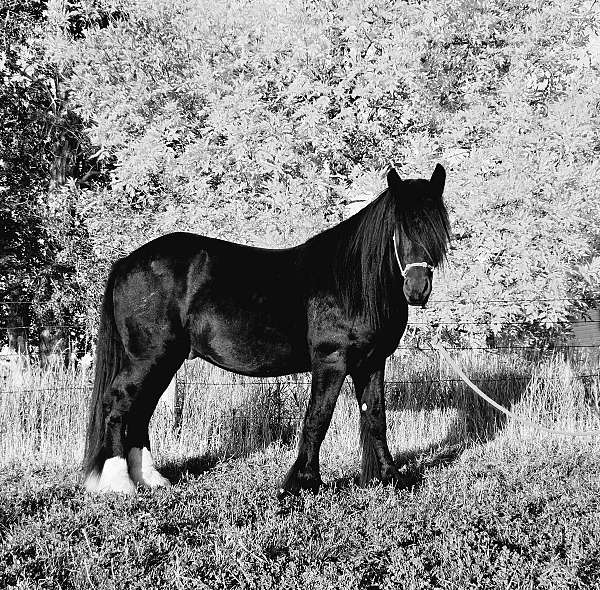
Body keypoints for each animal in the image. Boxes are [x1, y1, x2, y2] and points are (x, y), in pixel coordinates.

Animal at [83, 164, 450, 498]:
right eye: (399, 229)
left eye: (437, 227)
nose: (417, 290)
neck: (353, 282)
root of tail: (126, 263)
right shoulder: (331, 362)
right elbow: (318, 417)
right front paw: (301, 483)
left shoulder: (371, 364)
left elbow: (375, 418)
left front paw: (391, 478)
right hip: (148, 357)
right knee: (119, 404)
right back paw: (120, 482)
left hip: (164, 360)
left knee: (140, 409)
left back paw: (151, 479)